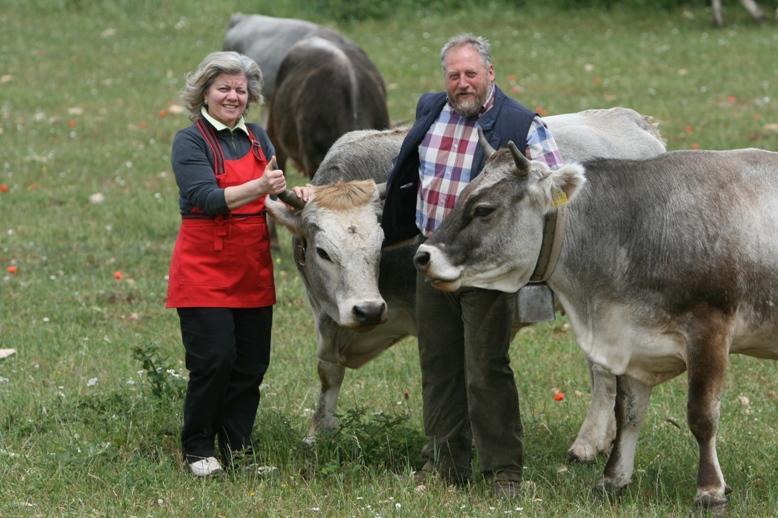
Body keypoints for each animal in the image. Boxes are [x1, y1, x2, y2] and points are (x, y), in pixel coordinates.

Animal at [268, 108, 668, 464]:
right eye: (323, 251)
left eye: (379, 244)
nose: (368, 309)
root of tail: (632, 120)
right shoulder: (325, 317)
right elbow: (328, 372)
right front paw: (320, 433)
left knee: (602, 372)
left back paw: (587, 443)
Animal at [416, 144, 776, 510]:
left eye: (484, 209)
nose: (423, 255)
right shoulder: (630, 341)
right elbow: (627, 414)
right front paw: (613, 480)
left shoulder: (709, 330)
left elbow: (702, 415)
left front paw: (710, 491)